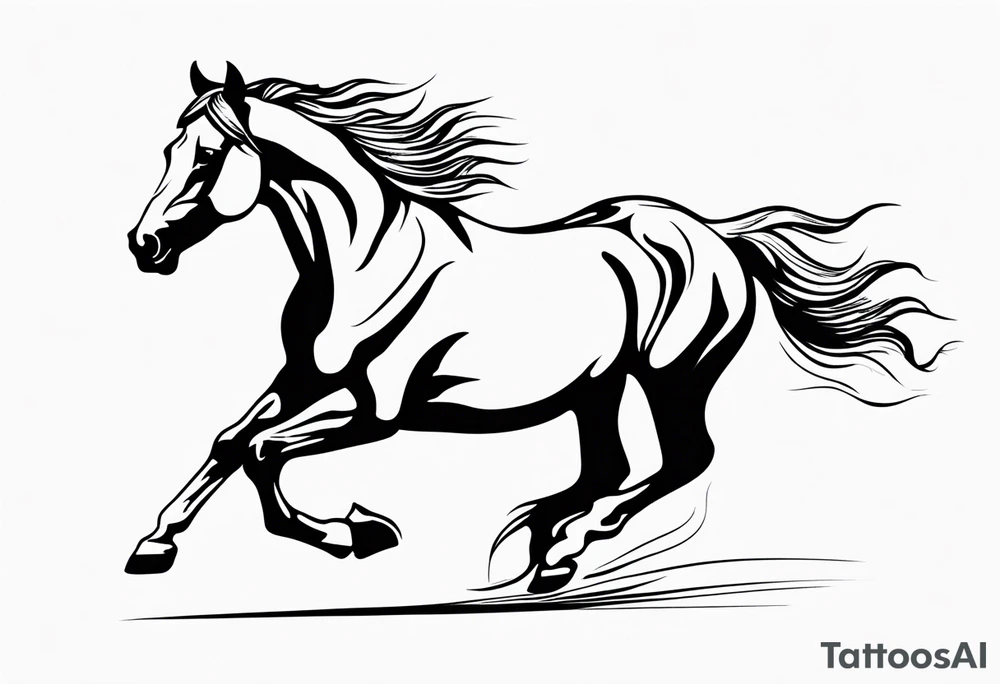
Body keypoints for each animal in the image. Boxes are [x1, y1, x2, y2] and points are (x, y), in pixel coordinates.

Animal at [124, 62, 948, 594]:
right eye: (167, 149)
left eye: (207, 155)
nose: (144, 246)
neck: (363, 259)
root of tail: (718, 236)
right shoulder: (305, 377)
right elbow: (231, 441)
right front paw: (152, 546)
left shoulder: (381, 411)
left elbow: (262, 451)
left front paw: (355, 533)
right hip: (599, 387)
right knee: (610, 466)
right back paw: (548, 548)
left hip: (672, 376)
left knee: (681, 460)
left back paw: (570, 547)